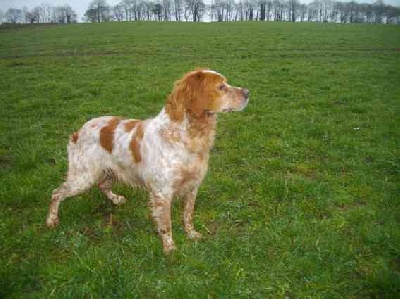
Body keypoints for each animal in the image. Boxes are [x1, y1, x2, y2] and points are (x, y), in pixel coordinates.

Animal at [45, 68, 248, 253]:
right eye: (221, 87)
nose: (248, 92)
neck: (187, 136)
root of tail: (78, 131)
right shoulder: (162, 193)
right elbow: (166, 225)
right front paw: (169, 248)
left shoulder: (193, 186)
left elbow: (188, 215)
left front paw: (191, 234)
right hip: (83, 177)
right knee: (56, 193)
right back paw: (51, 220)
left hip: (108, 171)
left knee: (102, 185)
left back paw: (116, 199)